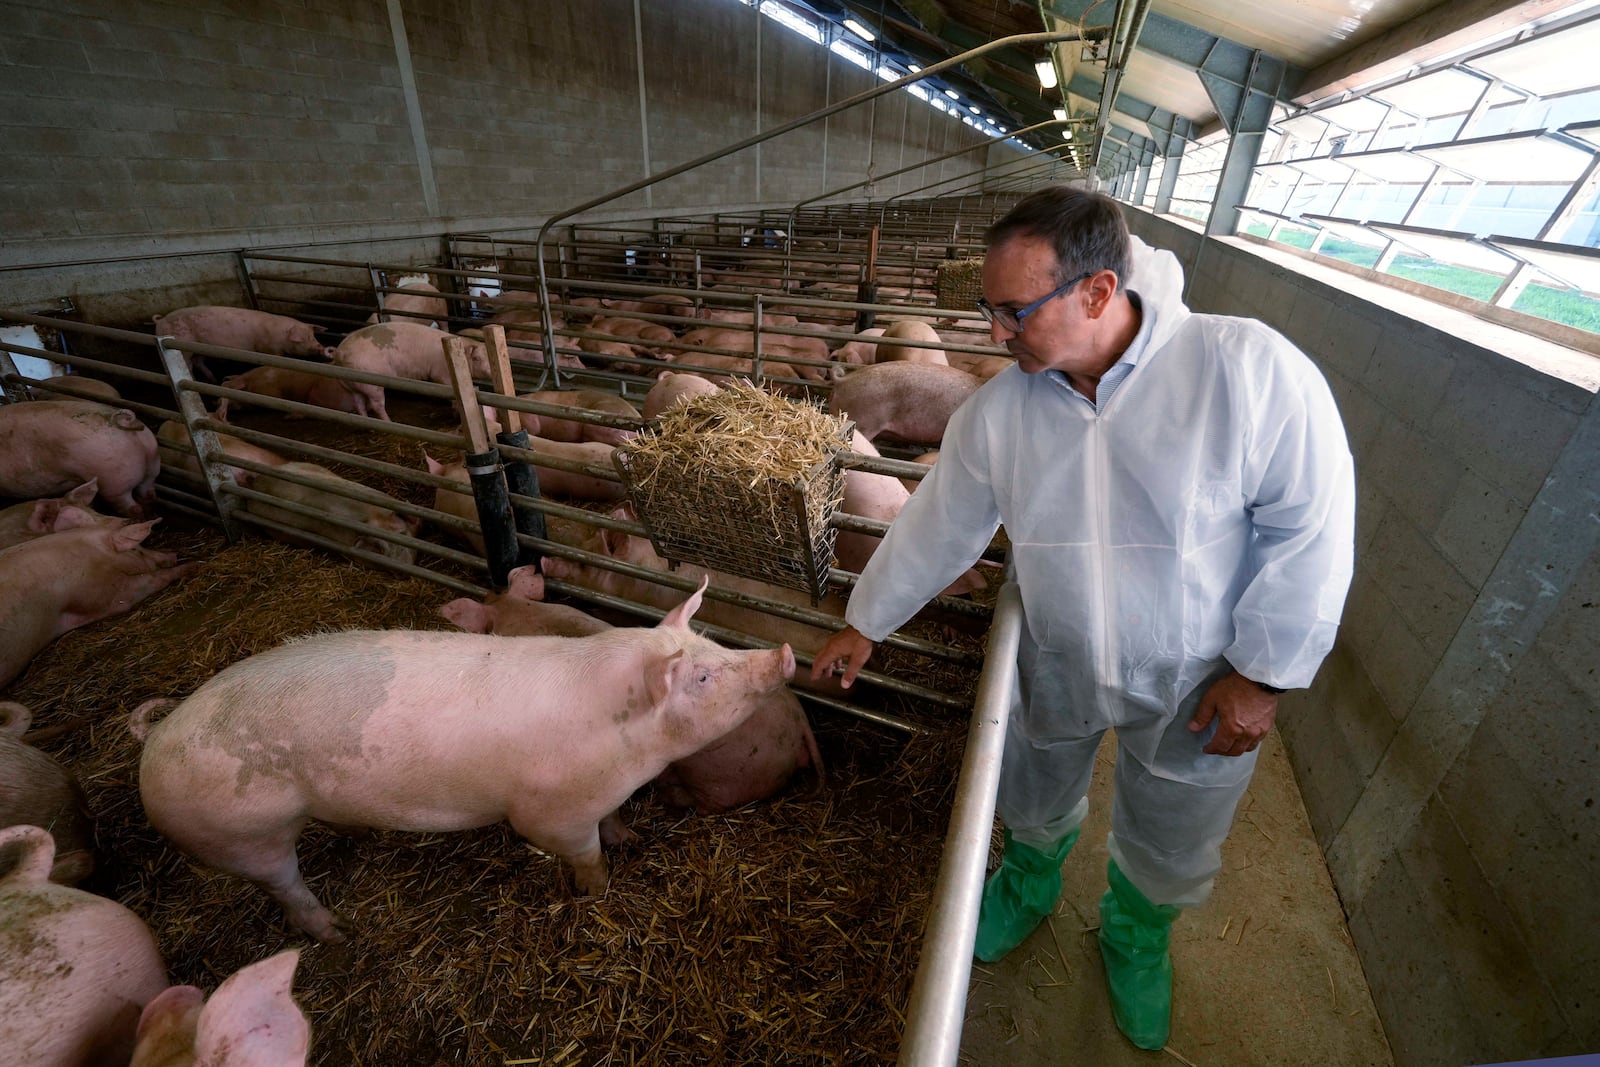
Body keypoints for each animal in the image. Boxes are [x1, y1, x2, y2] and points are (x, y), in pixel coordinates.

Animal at [134, 579, 796, 940]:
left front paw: (631, 839)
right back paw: (341, 934)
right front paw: (601, 892)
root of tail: (157, 738)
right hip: (243, 834)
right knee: (286, 888)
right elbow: (583, 854)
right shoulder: (548, 814)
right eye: (703, 677)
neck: (629, 746)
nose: (785, 653)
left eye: (709, 642)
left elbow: (612, 823)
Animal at [328, 323, 489, 422]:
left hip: (350, 384)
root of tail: (340, 353)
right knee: (376, 405)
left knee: (359, 403)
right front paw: (456, 413)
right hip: (371, 384)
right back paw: (389, 422)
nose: (488, 370)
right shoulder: (441, 374)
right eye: (476, 358)